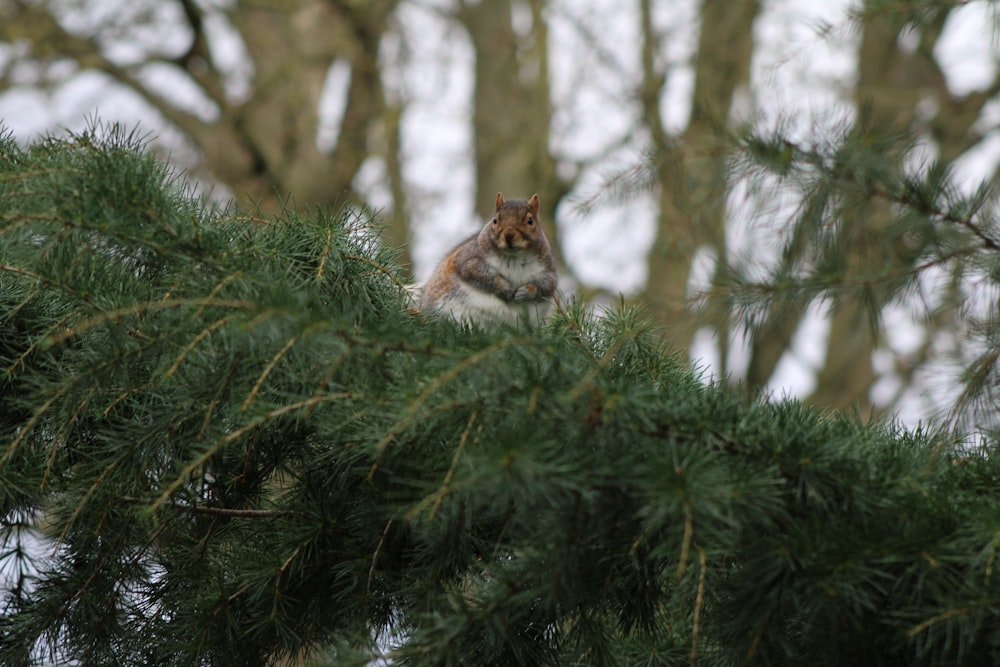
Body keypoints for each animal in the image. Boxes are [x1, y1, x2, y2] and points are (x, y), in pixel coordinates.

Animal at [420, 192, 560, 330]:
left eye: (530, 221)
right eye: (495, 220)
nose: (509, 235)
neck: (513, 256)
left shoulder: (547, 268)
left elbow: (547, 284)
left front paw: (527, 291)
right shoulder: (467, 259)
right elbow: (478, 274)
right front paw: (505, 288)